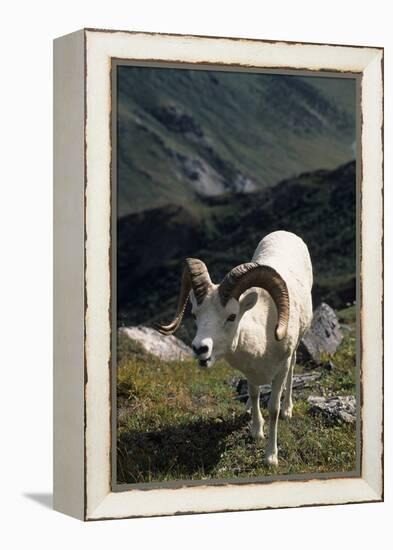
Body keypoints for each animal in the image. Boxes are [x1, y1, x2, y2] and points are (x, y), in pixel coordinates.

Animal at [155, 231, 312, 468]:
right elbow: (254, 394)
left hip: (294, 352)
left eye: (231, 316)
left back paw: (288, 410)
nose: (200, 349)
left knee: (293, 371)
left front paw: (271, 457)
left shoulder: (280, 369)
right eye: (195, 315)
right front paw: (256, 430)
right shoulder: (250, 373)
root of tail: (286, 233)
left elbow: (273, 409)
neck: (263, 336)